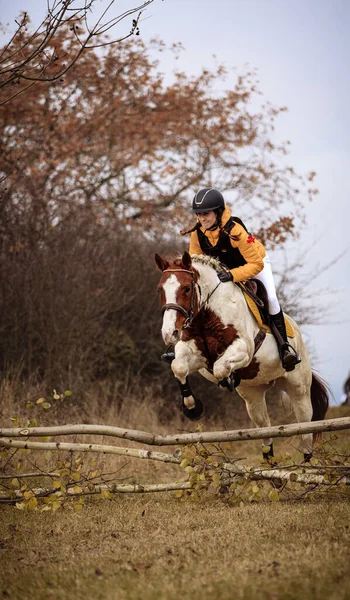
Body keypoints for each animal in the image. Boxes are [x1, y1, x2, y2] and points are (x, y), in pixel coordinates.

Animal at [154, 248, 330, 460]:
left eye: (187, 289)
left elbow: (220, 367)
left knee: (305, 431)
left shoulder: (244, 349)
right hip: (253, 395)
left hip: (299, 390)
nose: (169, 333)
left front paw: (228, 379)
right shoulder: (194, 353)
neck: (208, 314)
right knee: (265, 432)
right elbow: (178, 367)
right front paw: (192, 408)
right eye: (160, 290)